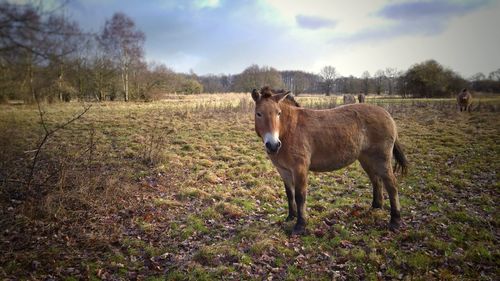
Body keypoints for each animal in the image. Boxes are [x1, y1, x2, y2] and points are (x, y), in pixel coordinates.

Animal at [252, 86, 408, 234]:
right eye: (258, 113)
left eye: (278, 113)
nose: (273, 145)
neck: (289, 129)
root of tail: (386, 114)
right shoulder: (283, 170)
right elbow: (289, 194)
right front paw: (291, 216)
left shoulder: (299, 169)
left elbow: (300, 196)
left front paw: (300, 226)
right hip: (367, 159)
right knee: (376, 180)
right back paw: (376, 207)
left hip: (382, 159)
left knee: (392, 185)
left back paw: (395, 220)